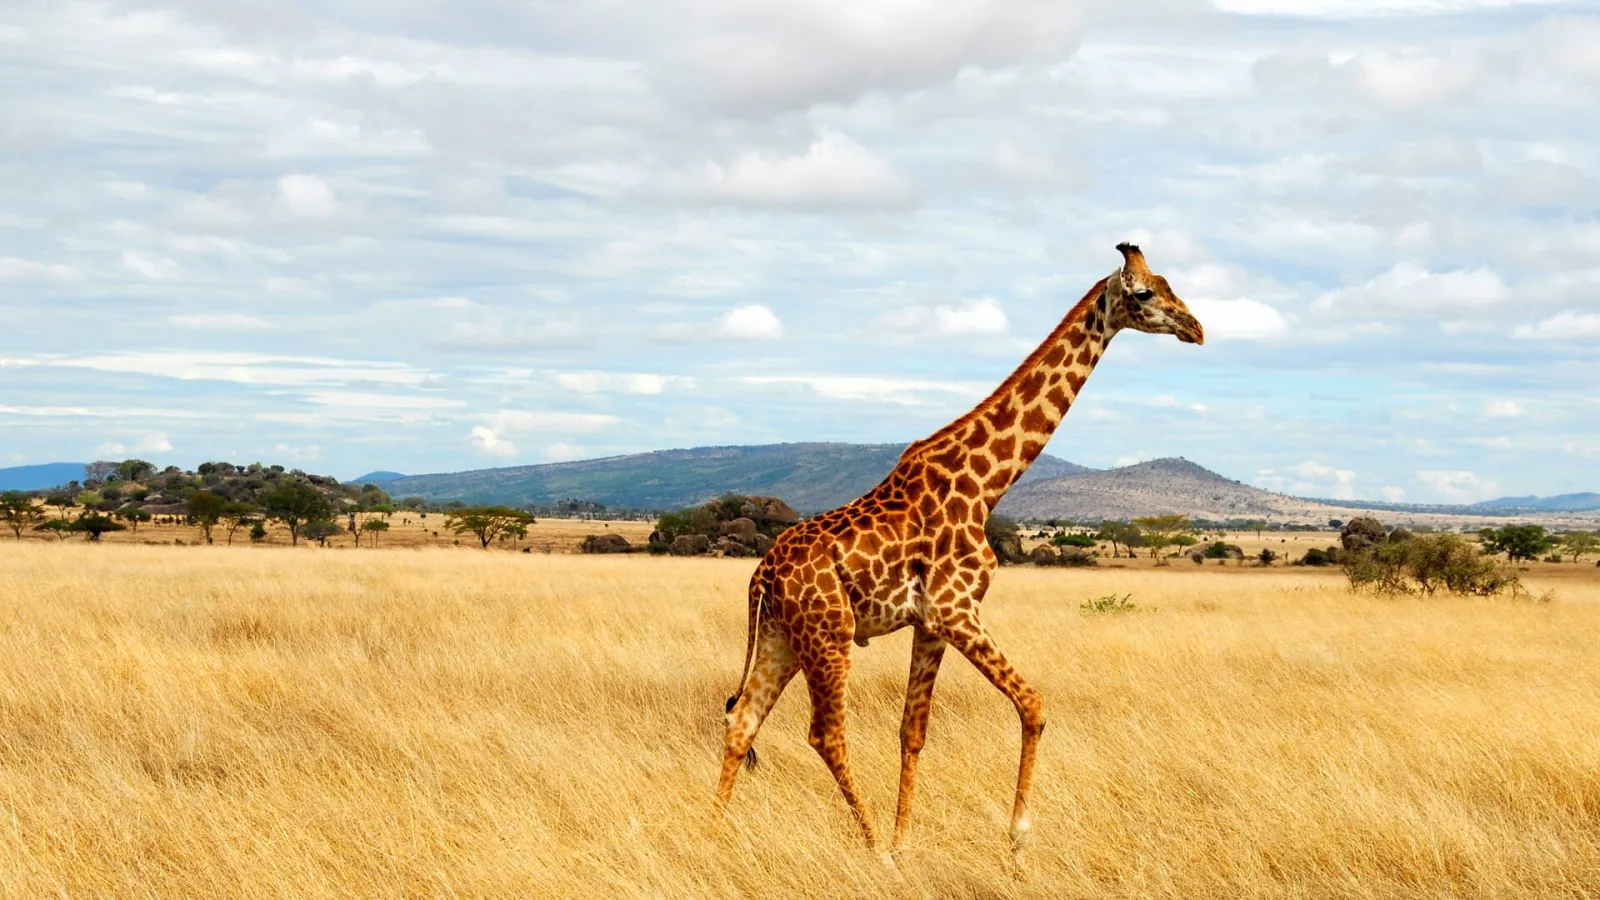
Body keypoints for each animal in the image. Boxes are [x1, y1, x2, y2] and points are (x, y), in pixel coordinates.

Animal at [714, 243, 1205, 867]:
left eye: (1168, 283)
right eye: (1143, 293)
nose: (1196, 329)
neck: (988, 484)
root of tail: (761, 574)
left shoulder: (930, 623)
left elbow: (912, 730)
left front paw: (908, 839)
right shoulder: (957, 609)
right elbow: (1033, 705)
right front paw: (1016, 842)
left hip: (783, 635)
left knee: (742, 721)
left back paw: (712, 835)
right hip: (828, 634)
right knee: (824, 733)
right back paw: (874, 852)